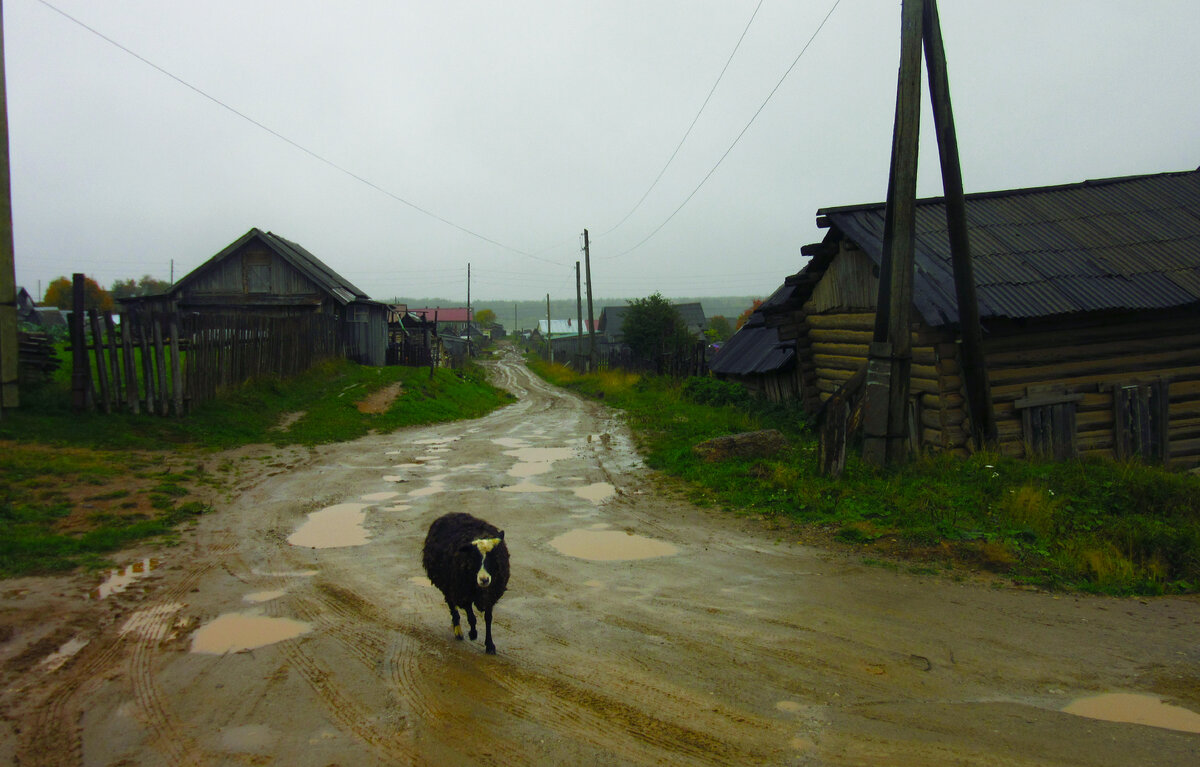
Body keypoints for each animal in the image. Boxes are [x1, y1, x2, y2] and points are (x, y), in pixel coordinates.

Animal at [420, 516, 508, 652]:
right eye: (474, 557)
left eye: (492, 556)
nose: (484, 579)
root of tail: (449, 515)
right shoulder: (463, 593)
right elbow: (471, 616)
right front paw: (473, 633)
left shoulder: (490, 596)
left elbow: (488, 619)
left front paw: (490, 645)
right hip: (449, 586)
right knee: (452, 605)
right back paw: (458, 631)